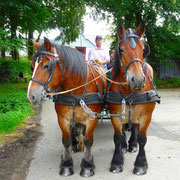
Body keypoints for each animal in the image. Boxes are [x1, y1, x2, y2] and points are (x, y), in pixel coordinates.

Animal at [27, 37, 106, 176]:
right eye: (32, 67)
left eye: (46, 66)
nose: (31, 96)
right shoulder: (62, 118)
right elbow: (66, 139)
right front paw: (66, 164)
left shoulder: (92, 118)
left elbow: (88, 140)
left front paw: (87, 165)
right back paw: (75, 145)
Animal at [106, 21, 160, 175]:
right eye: (121, 50)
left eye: (143, 50)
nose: (138, 80)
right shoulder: (115, 113)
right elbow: (118, 136)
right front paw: (117, 160)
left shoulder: (146, 114)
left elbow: (142, 138)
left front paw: (141, 163)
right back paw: (125, 146)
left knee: (135, 126)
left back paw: (133, 144)